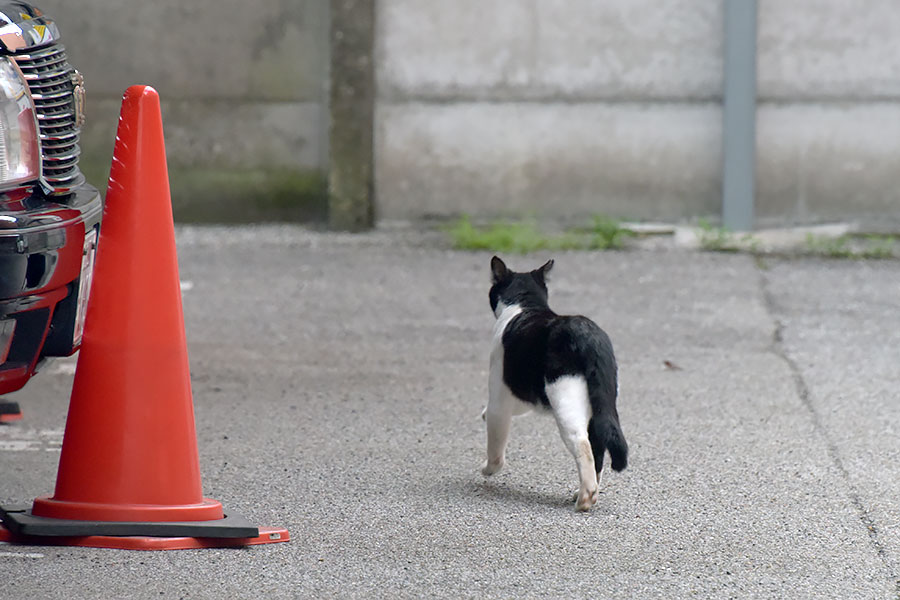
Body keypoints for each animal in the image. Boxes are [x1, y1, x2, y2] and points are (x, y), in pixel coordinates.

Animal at [486, 256, 624, 510]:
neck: (525, 304)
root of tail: (589, 336)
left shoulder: (500, 396)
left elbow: (496, 445)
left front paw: (489, 470)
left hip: (565, 401)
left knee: (583, 446)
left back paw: (585, 499)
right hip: (600, 406)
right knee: (598, 450)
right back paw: (583, 493)